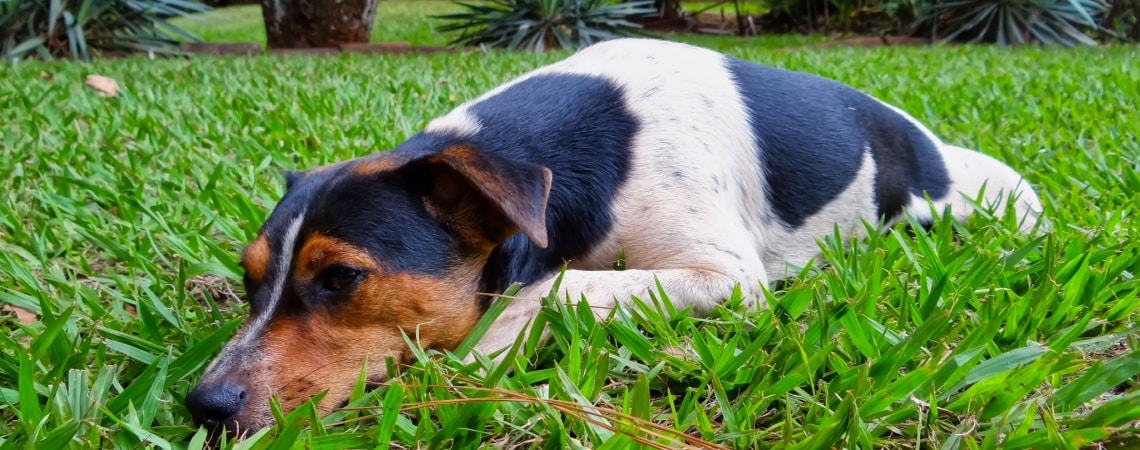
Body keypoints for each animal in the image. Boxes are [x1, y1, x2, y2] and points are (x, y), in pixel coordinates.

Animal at [184, 37, 1044, 439]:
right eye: (248, 280)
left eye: (341, 278)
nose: (204, 403)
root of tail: (931, 146)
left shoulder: (728, 276)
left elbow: (554, 283)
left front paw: (481, 357)